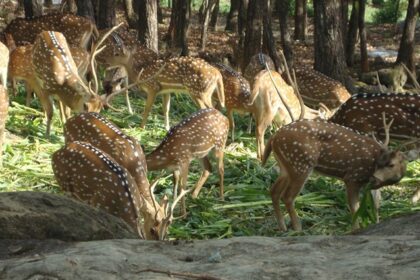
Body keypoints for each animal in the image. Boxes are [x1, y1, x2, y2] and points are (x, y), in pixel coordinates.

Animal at [262, 116, 414, 232]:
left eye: (391, 164)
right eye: (379, 163)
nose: (374, 177)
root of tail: (274, 137)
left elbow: (376, 204)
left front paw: (375, 223)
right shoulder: (352, 176)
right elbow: (354, 207)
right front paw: (355, 229)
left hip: (286, 167)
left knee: (274, 191)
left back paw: (283, 227)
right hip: (301, 163)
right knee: (287, 196)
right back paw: (298, 229)